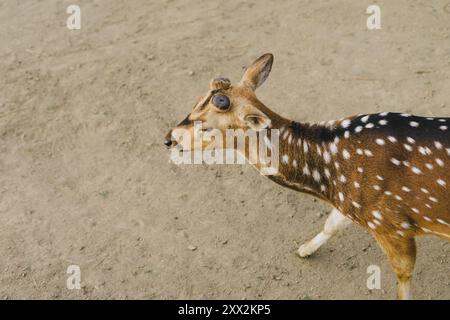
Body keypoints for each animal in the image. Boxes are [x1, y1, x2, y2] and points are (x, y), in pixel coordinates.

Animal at [164, 53, 450, 300]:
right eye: (194, 104)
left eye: (206, 127)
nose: (168, 139)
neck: (331, 182)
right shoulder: (351, 204)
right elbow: (331, 225)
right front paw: (303, 250)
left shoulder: (391, 224)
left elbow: (403, 275)